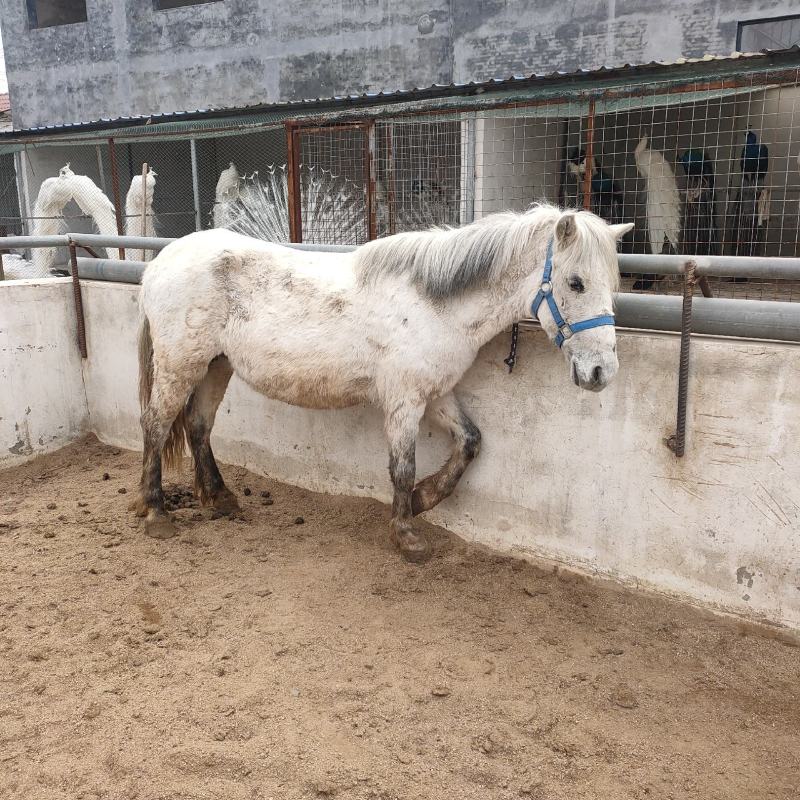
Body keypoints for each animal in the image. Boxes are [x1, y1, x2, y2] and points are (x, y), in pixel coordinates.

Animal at [134, 204, 633, 562]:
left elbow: (470, 441)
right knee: (156, 426)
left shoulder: (437, 392)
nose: (601, 373)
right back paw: (156, 512)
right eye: (576, 282)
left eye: (612, 285)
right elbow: (402, 467)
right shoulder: (405, 400)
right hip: (181, 364)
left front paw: (424, 499)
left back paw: (220, 499)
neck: (435, 304)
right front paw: (407, 534)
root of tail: (162, 261)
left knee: (198, 426)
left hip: (216, 365)